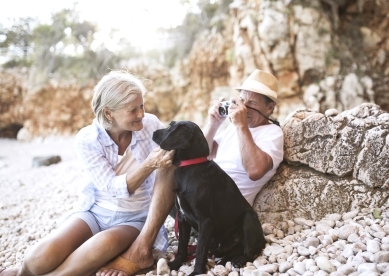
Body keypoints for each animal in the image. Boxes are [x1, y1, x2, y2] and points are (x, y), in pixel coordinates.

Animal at [152, 120, 266, 274]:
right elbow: (182, 247)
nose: (153, 132)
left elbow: (200, 251)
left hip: (249, 218)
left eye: (170, 126)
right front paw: (175, 264)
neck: (191, 166)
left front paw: (197, 272)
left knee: (249, 252)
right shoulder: (182, 218)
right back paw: (224, 262)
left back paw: (239, 260)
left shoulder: (206, 221)